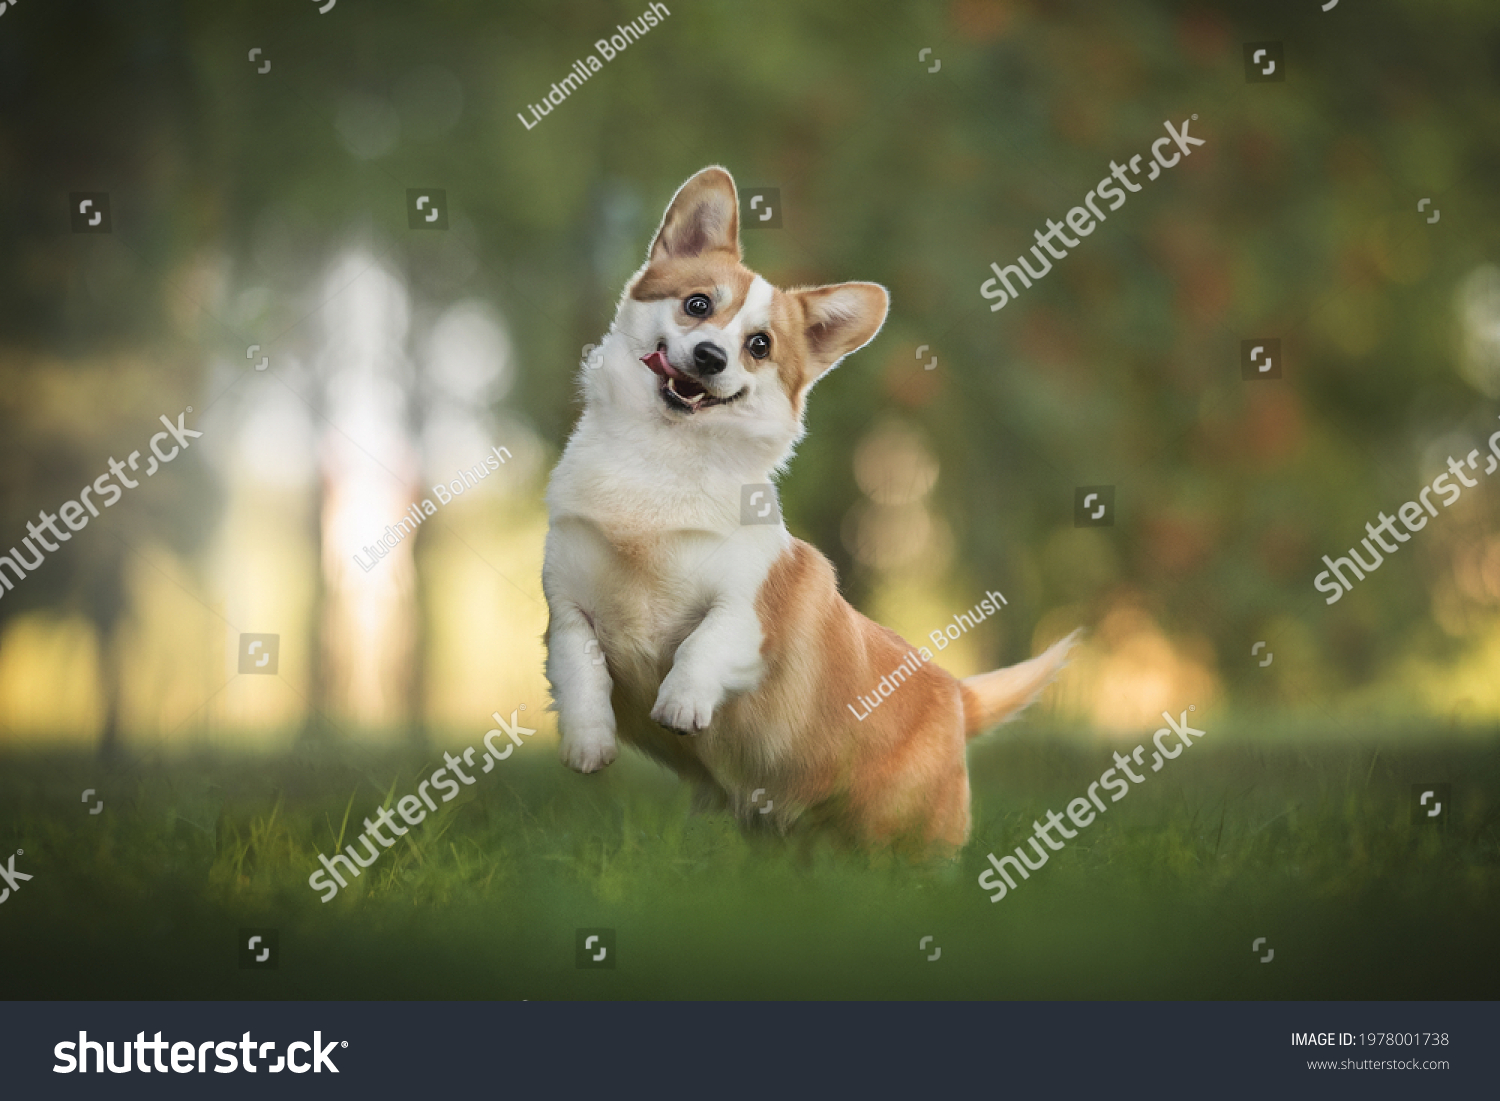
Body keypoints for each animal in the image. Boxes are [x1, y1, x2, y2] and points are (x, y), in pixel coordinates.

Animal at [546, 165, 1074, 852]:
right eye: (697, 304)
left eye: (760, 346)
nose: (711, 357)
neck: (663, 456)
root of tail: (955, 694)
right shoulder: (567, 606)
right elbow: (580, 667)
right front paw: (587, 745)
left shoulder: (747, 611)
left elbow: (703, 643)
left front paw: (681, 703)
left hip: (905, 833)